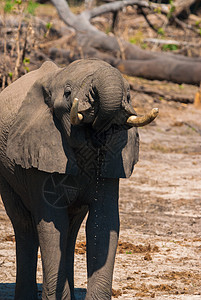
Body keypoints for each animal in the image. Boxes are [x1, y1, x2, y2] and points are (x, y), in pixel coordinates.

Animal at [0, 59, 158, 300]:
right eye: (67, 93)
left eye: (129, 95)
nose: (100, 132)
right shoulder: (40, 156)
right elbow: (52, 224)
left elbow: (103, 223)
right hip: (5, 174)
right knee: (24, 224)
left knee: (71, 229)